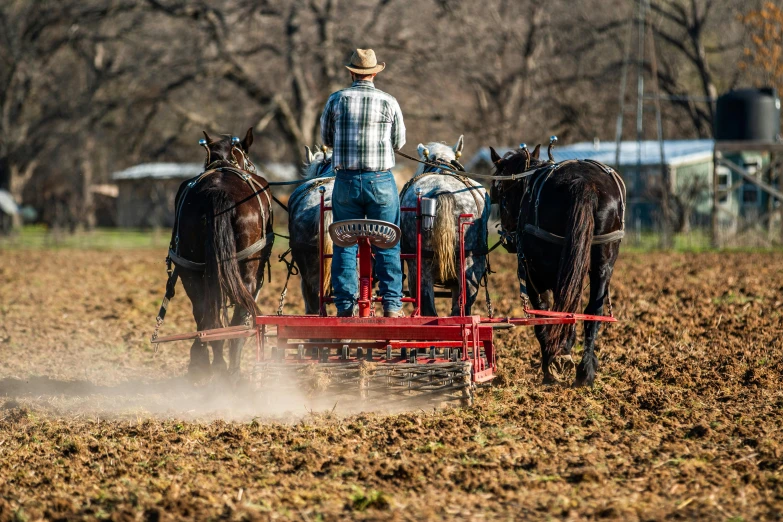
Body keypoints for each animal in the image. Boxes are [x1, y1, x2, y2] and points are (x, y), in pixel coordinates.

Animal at [167, 128, 274, 380]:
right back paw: (232, 372)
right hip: (248, 268)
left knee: (206, 315)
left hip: (191, 270)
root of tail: (217, 191)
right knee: (240, 313)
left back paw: (211, 365)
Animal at [494, 144, 628, 384]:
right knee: (591, 309)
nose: (508, 238)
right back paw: (586, 370)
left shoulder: (533, 276)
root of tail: (585, 184)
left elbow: (542, 312)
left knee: (561, 308)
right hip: (602, 263)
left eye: (502, 194)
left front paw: (552, 358)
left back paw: (557, 361)